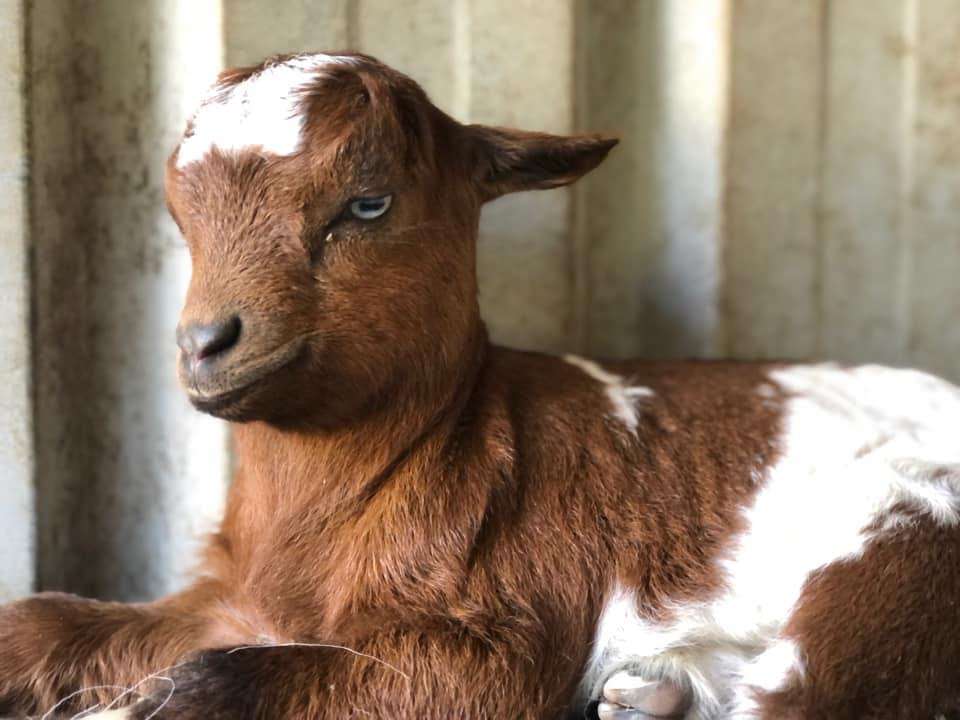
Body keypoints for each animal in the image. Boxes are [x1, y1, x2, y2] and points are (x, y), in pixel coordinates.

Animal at [3, 52, 960, 720]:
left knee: (807, 699)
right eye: (179, 214)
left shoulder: (504, 639)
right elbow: (46, 619)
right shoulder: (235, 595)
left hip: (906, 545)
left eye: (368, 204)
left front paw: (140, 702)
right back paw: (654, 696)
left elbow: (223, 682)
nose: (205, 343)